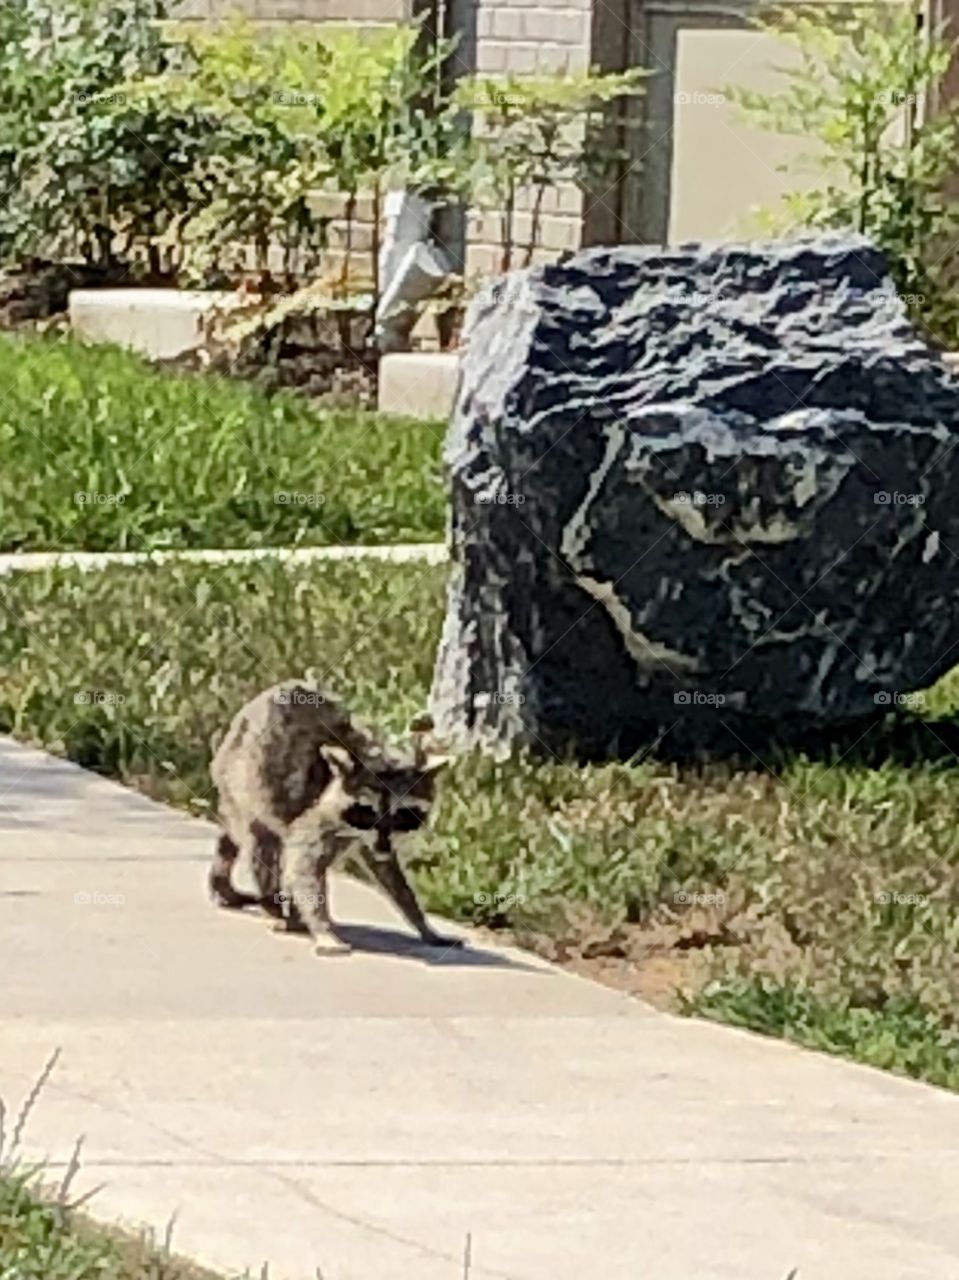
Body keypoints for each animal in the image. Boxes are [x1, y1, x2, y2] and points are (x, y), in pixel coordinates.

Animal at [209, 681, 459, 956]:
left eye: (402, 814)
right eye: (367, 811)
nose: (383, 844)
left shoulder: (375, 838)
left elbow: (387, 870)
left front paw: (421, 921)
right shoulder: (319, 814)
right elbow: (304, 867)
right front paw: (321, 927)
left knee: (241, 840)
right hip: (241, 779)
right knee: (262, 845)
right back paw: (274, 905)